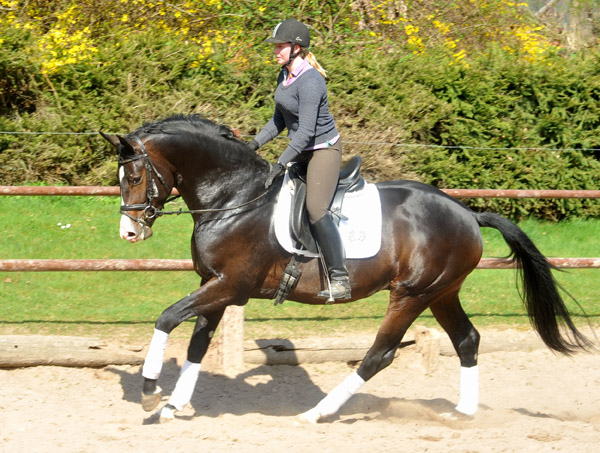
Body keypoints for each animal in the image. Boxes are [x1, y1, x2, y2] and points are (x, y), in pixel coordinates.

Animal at [99, 114, 592, 424]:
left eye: (135, 177)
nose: (129, 233)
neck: (234, 196)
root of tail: (468, 213)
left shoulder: (230, 285)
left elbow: (167, 318)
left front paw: (150, 395)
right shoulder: (214, 284)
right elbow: (199, 342)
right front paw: (174, 405)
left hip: (411, 294)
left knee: (380, 353)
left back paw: (317, 413)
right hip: (441, 292)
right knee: (467, 340)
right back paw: (463, 413)